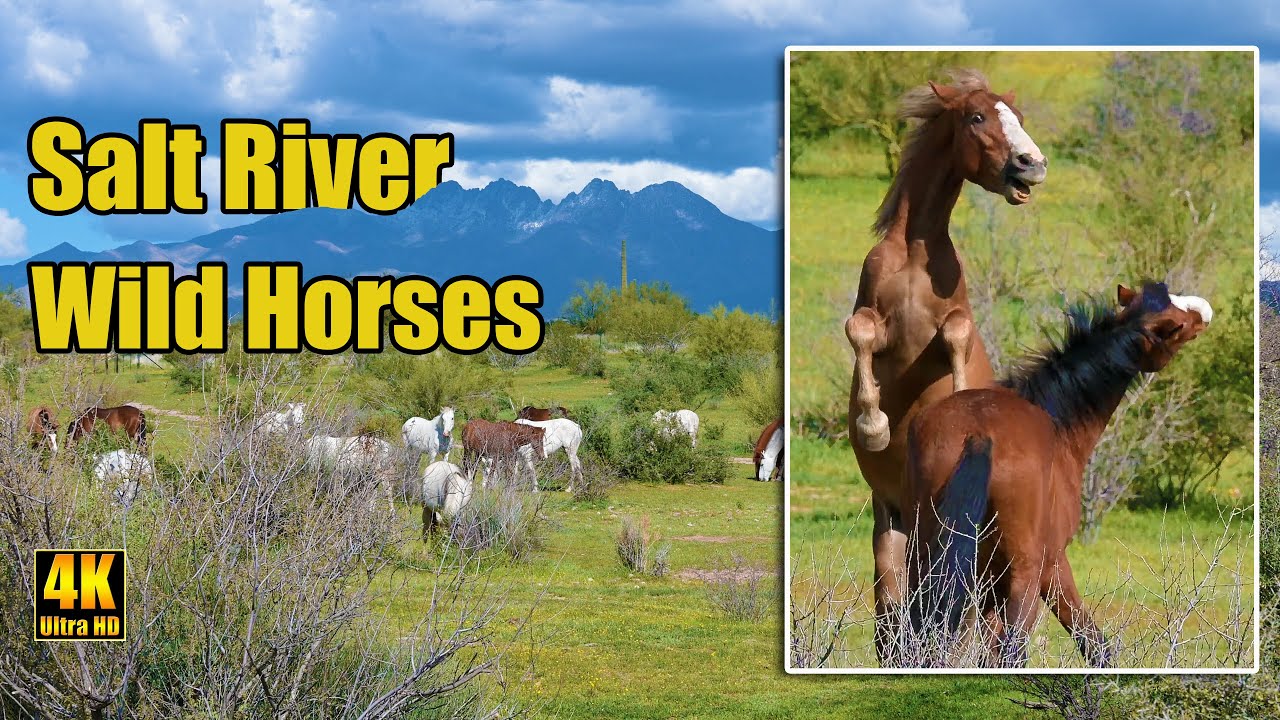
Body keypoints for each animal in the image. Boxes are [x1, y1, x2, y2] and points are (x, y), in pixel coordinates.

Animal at [840, 70, 1046, 662]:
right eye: (977, 117)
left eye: (1018, 116)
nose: (1032, 164)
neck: (915, 251)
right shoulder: (872, 316)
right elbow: (859, 331)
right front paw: (874, 425)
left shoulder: (956, 323)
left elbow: (956, 337)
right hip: (893, 520)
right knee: (893, 612)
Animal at [902, 283, 1211, 668]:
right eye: (1177, 327)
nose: (1204, 311)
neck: (1056, 418)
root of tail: (978, 435)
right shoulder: (1053, 567)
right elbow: (1091, 641)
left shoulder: (987, 587)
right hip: (1024, 579)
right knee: (1014, 650)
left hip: (922, 564)